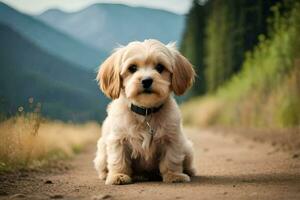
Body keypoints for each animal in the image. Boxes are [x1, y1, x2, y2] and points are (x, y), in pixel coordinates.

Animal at [94, 39, 197, 184]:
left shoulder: (172, 139)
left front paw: (174, 175)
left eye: (160, 67)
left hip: (187, 149)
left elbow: (171, 159)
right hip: (102, 152)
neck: (146, 111)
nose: (146, 80)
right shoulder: (118, 139)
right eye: (132, 68)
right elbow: (118, 159)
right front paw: (118, 175)